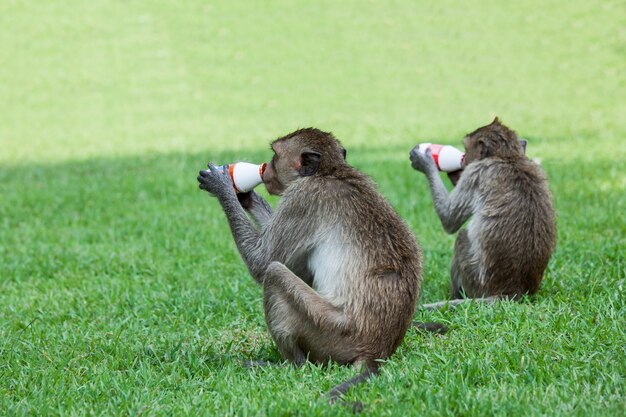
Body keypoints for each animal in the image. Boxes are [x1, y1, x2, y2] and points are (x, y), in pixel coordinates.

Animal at [199, 127, 424, 406]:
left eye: (275, 155)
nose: (265, 169)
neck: (329, 172)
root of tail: (376, 350)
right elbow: (299, 269)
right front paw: (246, 196)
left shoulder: (303, 197)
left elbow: (262, 262)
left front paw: (223, 187)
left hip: (332, 332)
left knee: (274, 273)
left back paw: (290, 365)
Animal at [410, 118, 556, 308]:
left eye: (466, 150)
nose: (462, 159)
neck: (508, 158)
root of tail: (512, 292)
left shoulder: (475, 173)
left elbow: (449, 220)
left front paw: (425, 161)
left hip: (475, 280)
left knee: (461, 237)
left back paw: (455, 297)